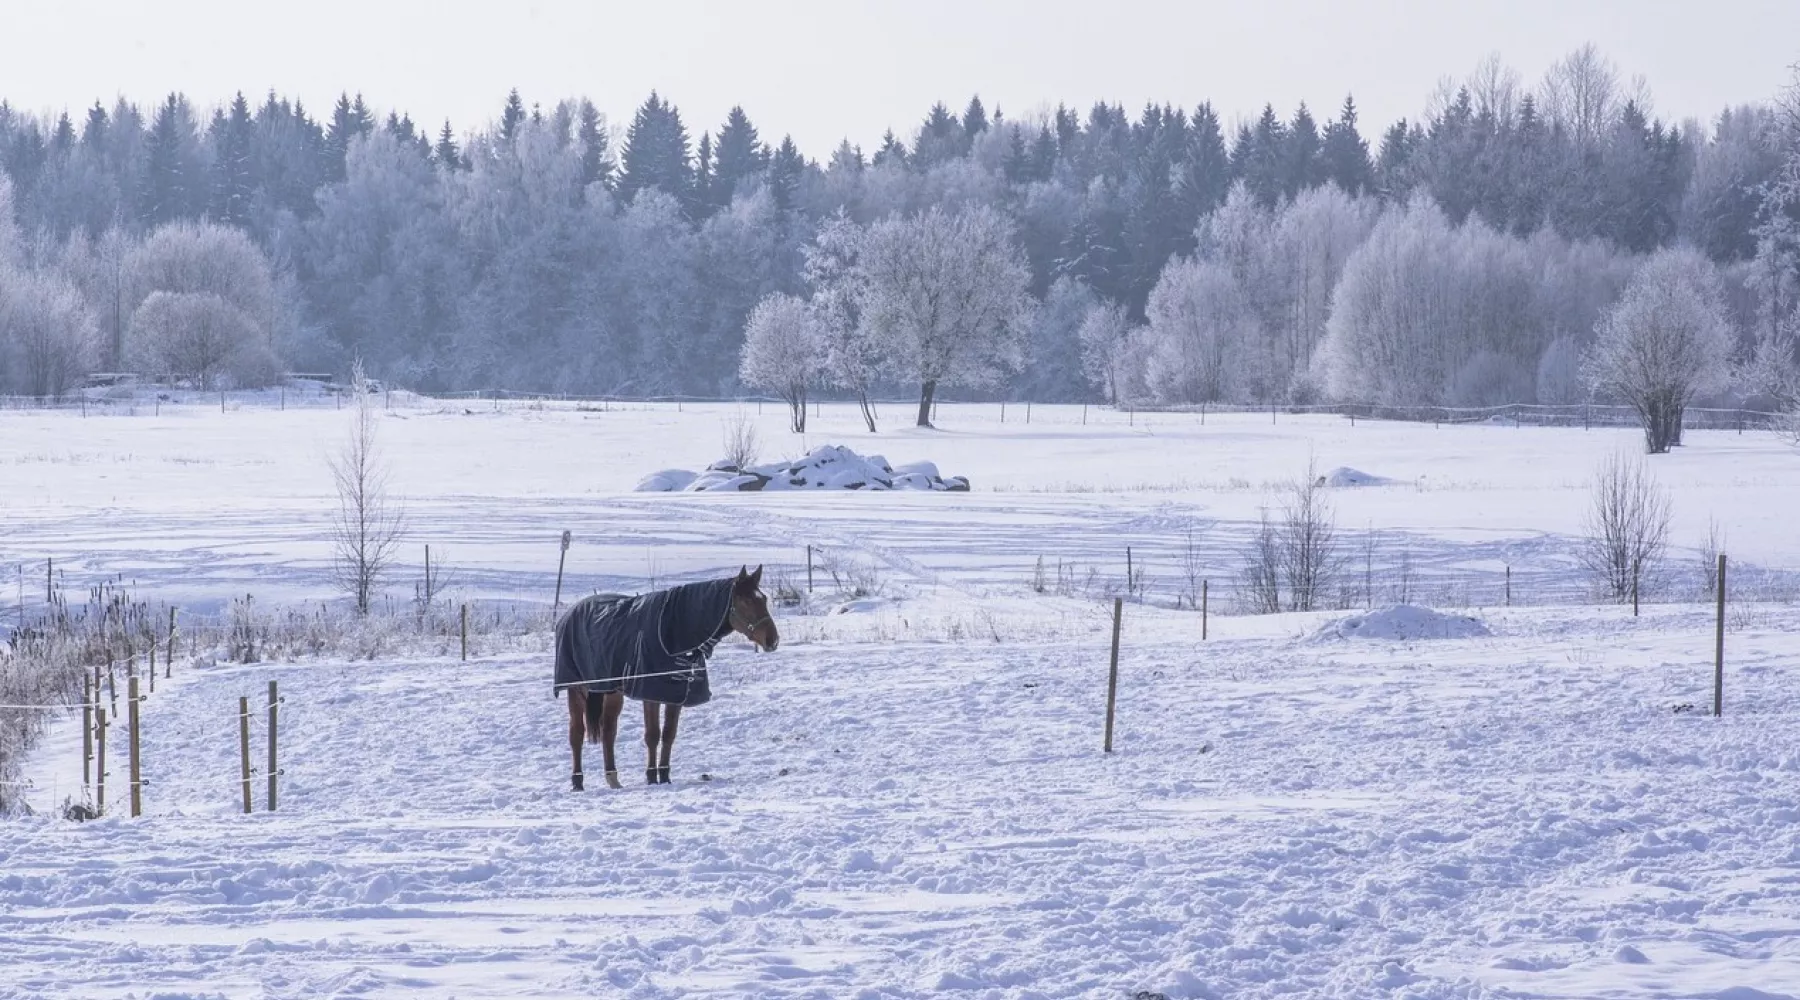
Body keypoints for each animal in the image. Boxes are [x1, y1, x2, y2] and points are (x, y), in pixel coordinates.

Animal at [547, 564, 774, 791]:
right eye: (745, 601)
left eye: (763, 599)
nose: (773, 639)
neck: (673, 635)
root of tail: (567, 615)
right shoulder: (651, 694)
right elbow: (653, 735)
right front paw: (651, 776)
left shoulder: (675, 695)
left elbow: (668, 734)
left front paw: (664, 775)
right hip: (576, 688)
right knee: (577, 733)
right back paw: (577, 781)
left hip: (611, 692)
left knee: (609, 730)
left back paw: (613, 778)